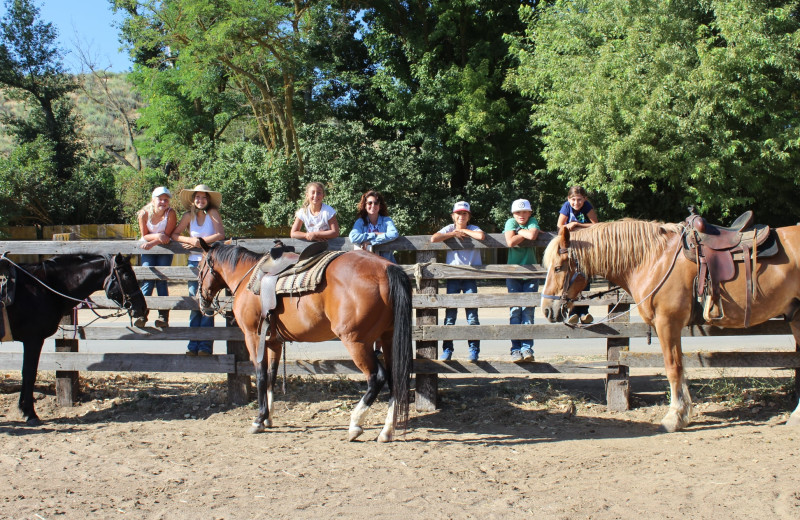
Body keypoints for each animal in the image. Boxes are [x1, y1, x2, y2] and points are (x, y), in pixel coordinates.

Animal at [4, 253, 148, 426]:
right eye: (127, 275)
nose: (142, 308)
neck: (43, 287)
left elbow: (26, 373)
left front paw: (23, 408)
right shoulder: (33, 339)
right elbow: (29, 373)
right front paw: (30, 413)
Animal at [197, 238, 412, 440]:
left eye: (199, 268)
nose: (202, 301)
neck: (249, 280)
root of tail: (385, 268)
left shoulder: (253, 336)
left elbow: (260, 375)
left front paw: (259, 419)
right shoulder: (274, 342)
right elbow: (271, 376)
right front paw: (268, 417)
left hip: (356, 342)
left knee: (377, 377)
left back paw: (355, 424)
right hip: (388, 338)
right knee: (394, 378)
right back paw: (386, 431)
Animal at [540, 221, 800, 432]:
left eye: (558, 267)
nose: (546, 310)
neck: (654, 259)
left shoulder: (667, 323)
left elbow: (673, 368)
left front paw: (674, 417)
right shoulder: (668, 326)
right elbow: (680, 367)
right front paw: (683, 413)